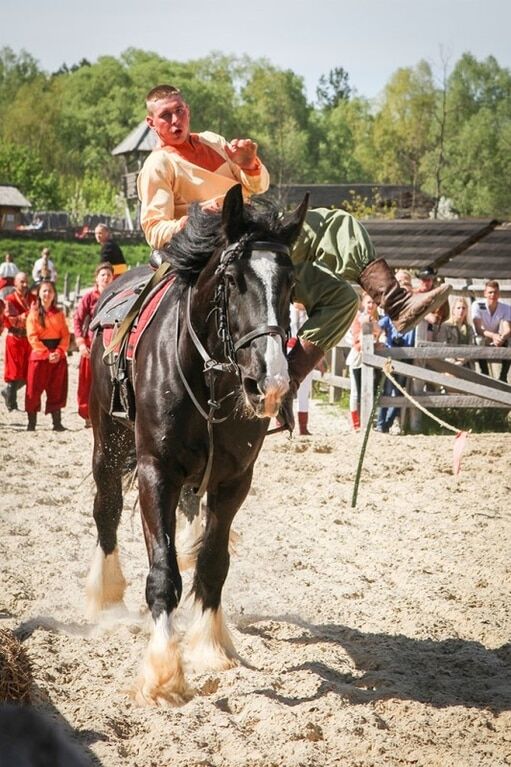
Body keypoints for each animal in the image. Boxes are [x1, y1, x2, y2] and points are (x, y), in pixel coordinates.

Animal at [86, 188, 308, 708]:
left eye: (290, 281)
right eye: (232, 279)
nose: (271, 381)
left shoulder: (234, 481)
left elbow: (213, 563)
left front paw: (209, 646)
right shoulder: (155, 472)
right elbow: (164, 574)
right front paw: (164, 671)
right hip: (107, 441)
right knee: (106, 508)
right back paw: (106, 596)